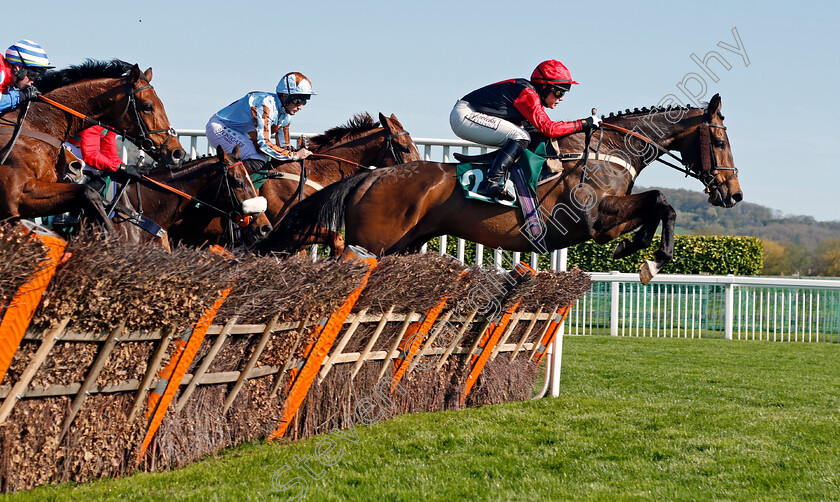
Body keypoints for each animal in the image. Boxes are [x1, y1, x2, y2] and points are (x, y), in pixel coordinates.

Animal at [0, 60, 185, 231]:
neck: (37, 123)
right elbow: (89, 192)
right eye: (148, 106)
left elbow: (87, 193)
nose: (177, 153)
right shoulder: (19, 197)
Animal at [266, 93, 740, 282]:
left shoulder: (605, 220)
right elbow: (662, 201)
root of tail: (368, 175)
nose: (732, 193)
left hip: (401, 246)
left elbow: (656, 205)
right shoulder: (592, 219)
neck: (609, 150)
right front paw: (652, 261)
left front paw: (637, 248)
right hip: (374, 244)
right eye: (719, 141)